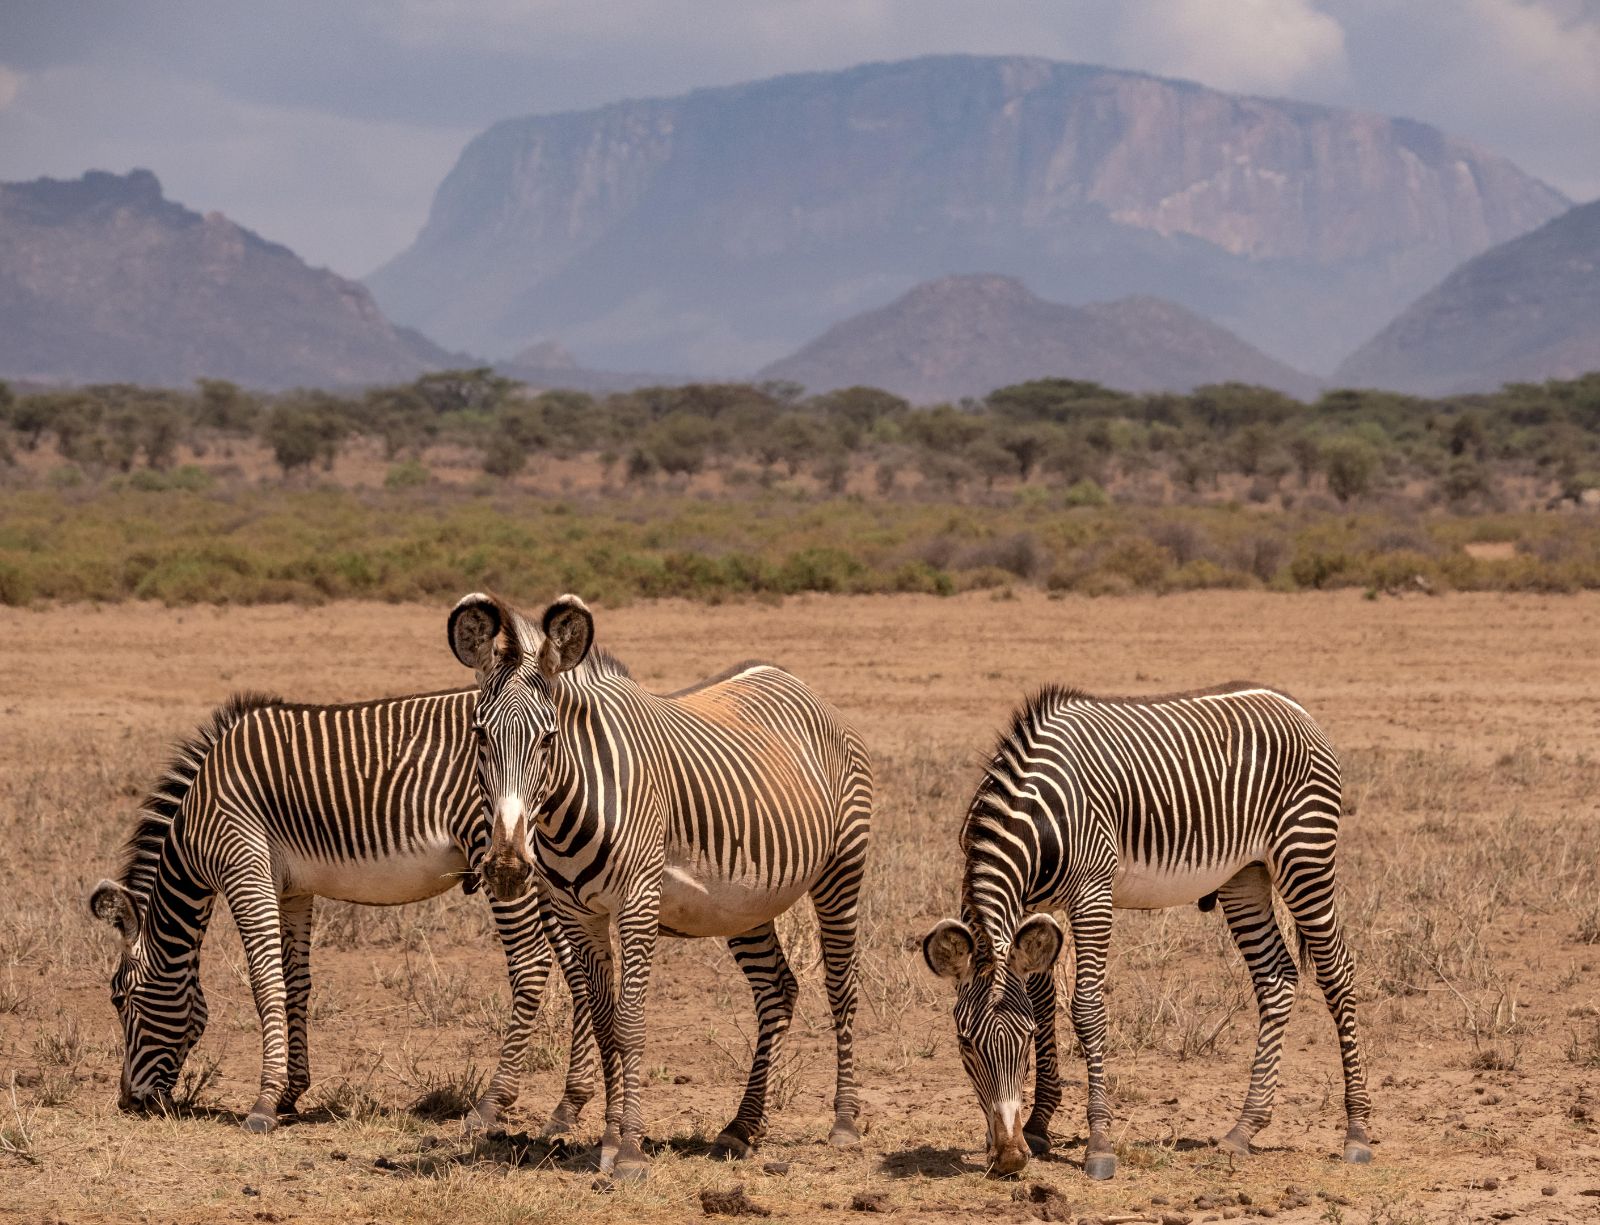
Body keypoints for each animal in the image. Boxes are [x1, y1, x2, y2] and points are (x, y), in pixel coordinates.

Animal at [87, 688, 596, 1135]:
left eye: (119, 999)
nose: (128, 1102)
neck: (196, 822)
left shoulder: (244, 869)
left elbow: (265, 983)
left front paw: (263, 1103)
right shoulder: (293, 890)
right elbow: (295, 985)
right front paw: (290, 1092)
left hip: (503, 860)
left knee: (531, 963)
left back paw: (491, 1104)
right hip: (553, 872)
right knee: (580, 969)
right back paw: (570, 1105)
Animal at [446, 592, 874, 1183]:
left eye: (549, 738)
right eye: (479, 735)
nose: (508, 867)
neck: (571, 803)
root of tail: (795, 681)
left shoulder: (638, 903)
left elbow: (629, 1024)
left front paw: (629, 1149)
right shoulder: (577, 913)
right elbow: (604, 1022)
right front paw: (606, 1142)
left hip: (841, 871)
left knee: (841, 988)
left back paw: (845, 1122)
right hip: (744, 903)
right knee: (777, 990)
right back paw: (741, 1127)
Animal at [922, 682, 1372, 1179]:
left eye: (1022, 1043)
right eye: (965, 1044)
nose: (1008, 1157)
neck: (1032, 814)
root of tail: (1292, 705)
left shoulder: (1093, 893)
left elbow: (1085, 1008)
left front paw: (1098, 1143)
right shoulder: (1035, 907)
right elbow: (1043, 1003)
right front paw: (1038, 1125)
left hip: (1305, 857)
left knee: (1338, 972)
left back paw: (1356, 1131)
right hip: (1245, 875)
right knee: (1276, 978)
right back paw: (1244, 1128)